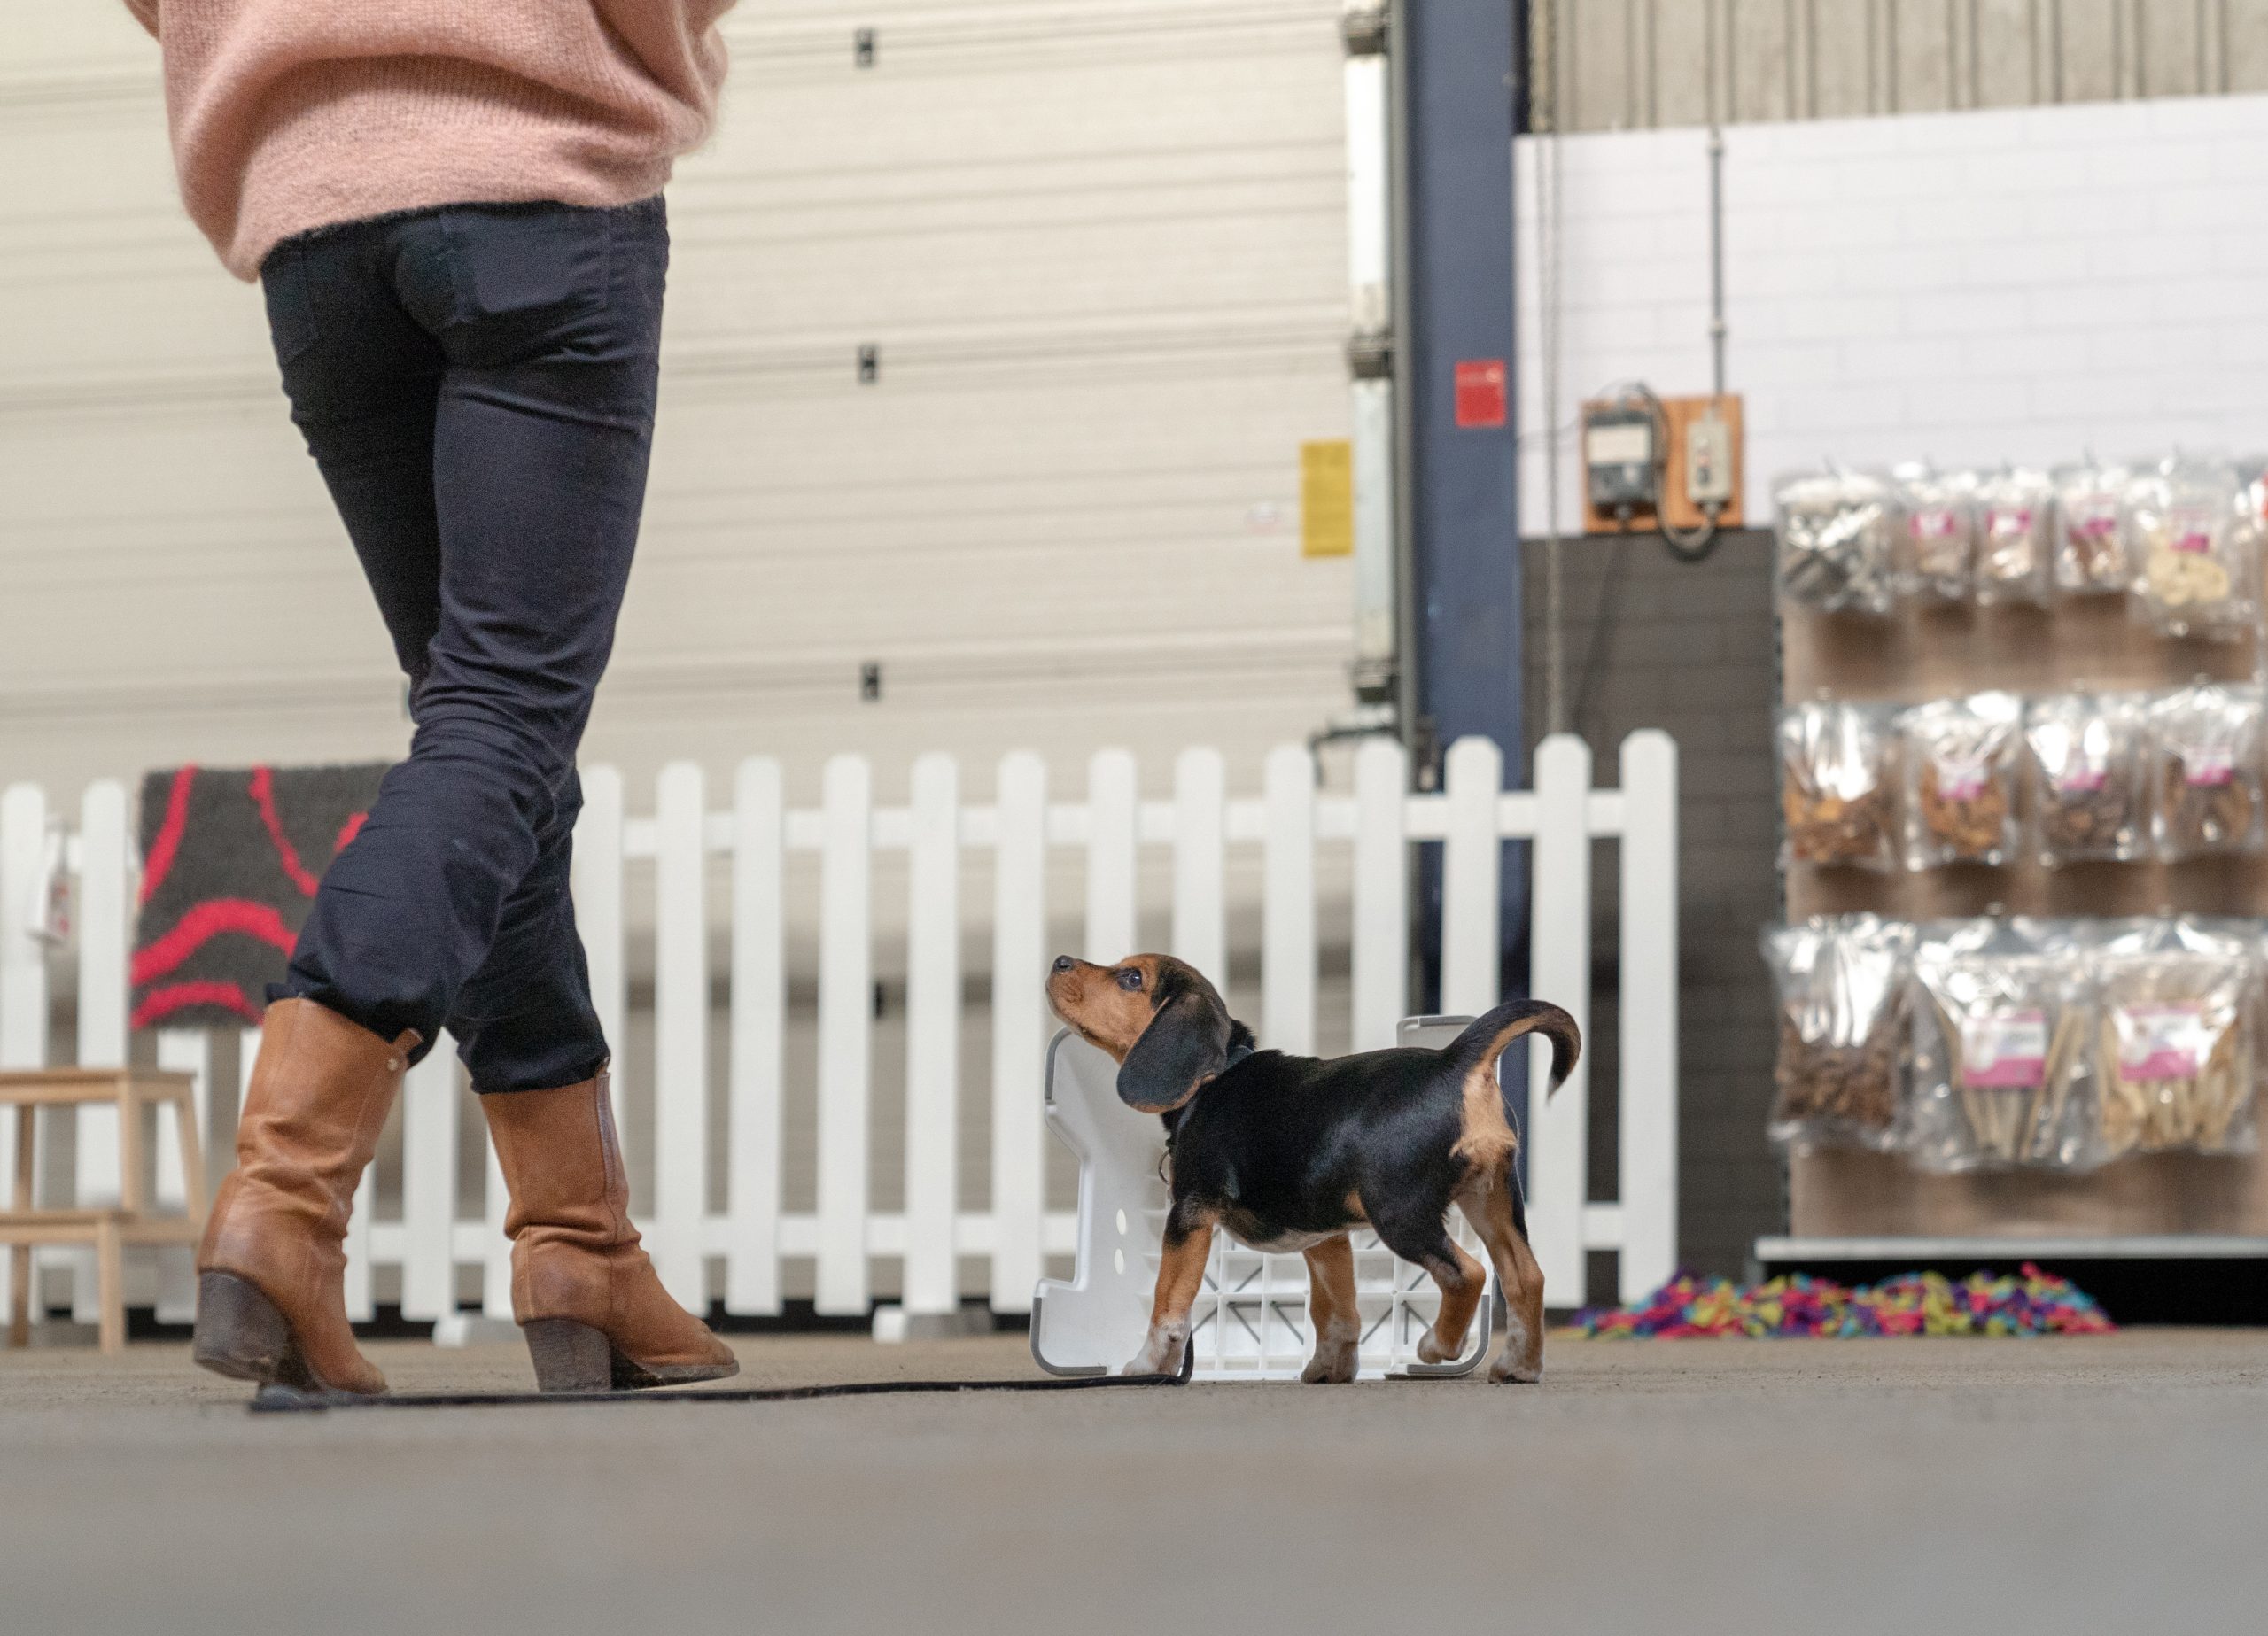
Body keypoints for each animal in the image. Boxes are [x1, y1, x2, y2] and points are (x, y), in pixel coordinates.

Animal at [1043, 952, 1578, 1388]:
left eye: (1132, 978)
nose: (1060, 961)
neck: (1213, 1078)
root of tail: (1454, 1061)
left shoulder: (1189, 1214)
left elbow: (1168, 1304)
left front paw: (1148, 1366)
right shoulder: (1325, 1237)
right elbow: (1337, 1310)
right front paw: (1332, 1368)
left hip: (1401, 1214)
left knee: (1467, 1273)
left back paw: (1436, 1347)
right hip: (1492, 1200)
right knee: (1526, 1278)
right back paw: (1520, 1367)